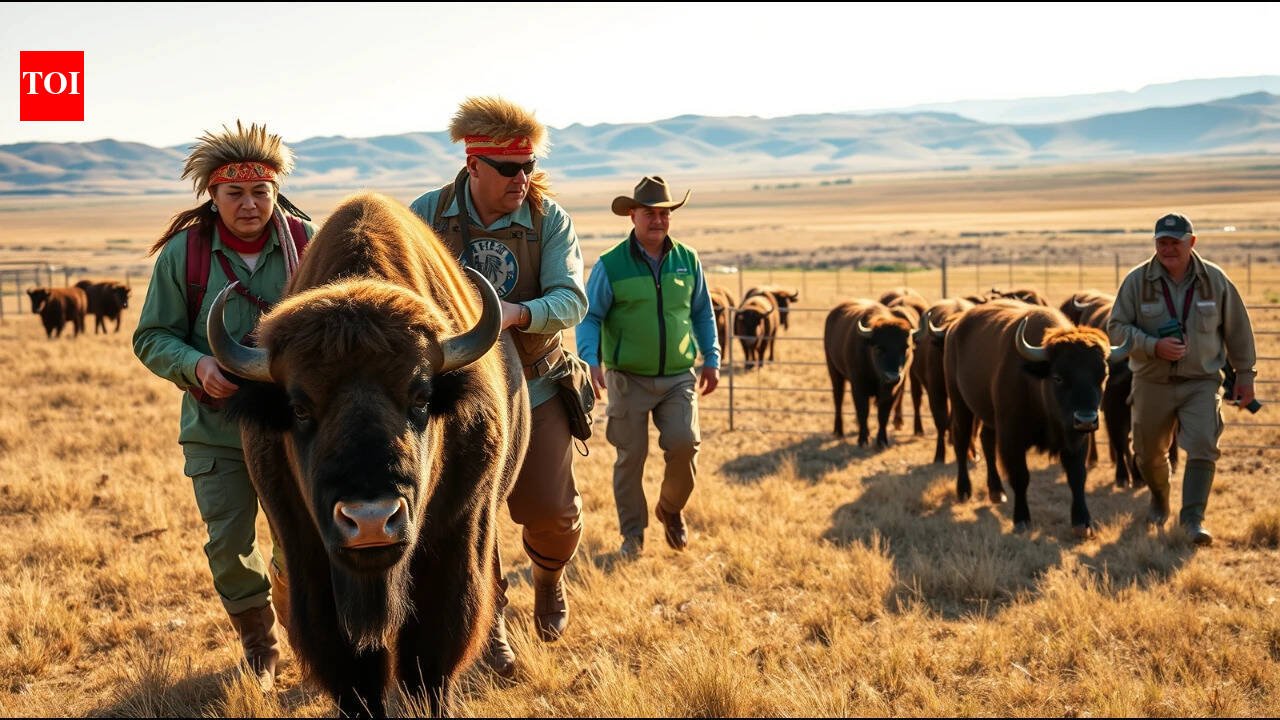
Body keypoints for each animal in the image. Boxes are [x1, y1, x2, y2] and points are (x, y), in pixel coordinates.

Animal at [213, 193, 529, 716]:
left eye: (421, 396)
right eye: (299, 407)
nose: (371, 521)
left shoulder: (455, 537)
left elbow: (432, 649)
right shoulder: (308, 551)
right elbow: (348, 664)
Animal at [824, 300, 914, 448]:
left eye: (905, 347)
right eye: (879, 348)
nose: (892, 377)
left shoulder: (892, 391)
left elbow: (883, 415)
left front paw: (882, 440)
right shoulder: (858, 387)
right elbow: (863, 411)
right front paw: (862, 440)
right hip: (834, 372)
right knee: (838, 398)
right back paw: (838, 430)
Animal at [944, 300, 1128, 536]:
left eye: (1103, 375)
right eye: (1058, 377)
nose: (1086, 419)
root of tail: (955, 327)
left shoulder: (1076, 438)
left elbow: (1077, 476)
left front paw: (1082, 522)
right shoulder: (1011, 437)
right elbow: (1020, 476)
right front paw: (1021, 519)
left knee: (986, 440)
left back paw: (996, 491)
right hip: (959, 401)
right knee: (961, 439)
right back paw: (964, 490)